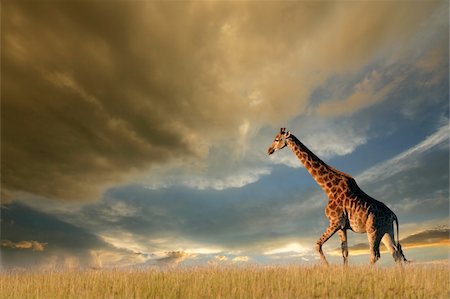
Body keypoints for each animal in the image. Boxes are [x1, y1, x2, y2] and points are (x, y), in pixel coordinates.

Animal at [268, 128, 408, 264]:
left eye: (277, 139)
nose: (269, 150)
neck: (328, 189)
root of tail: (392, 215)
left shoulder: (335, 221)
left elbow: (318, 245)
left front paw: (328, 267)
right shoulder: (342, 227)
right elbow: (345, 253)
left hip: (373, 230)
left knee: (375, 255)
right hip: (386, 230)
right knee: (395, 253)